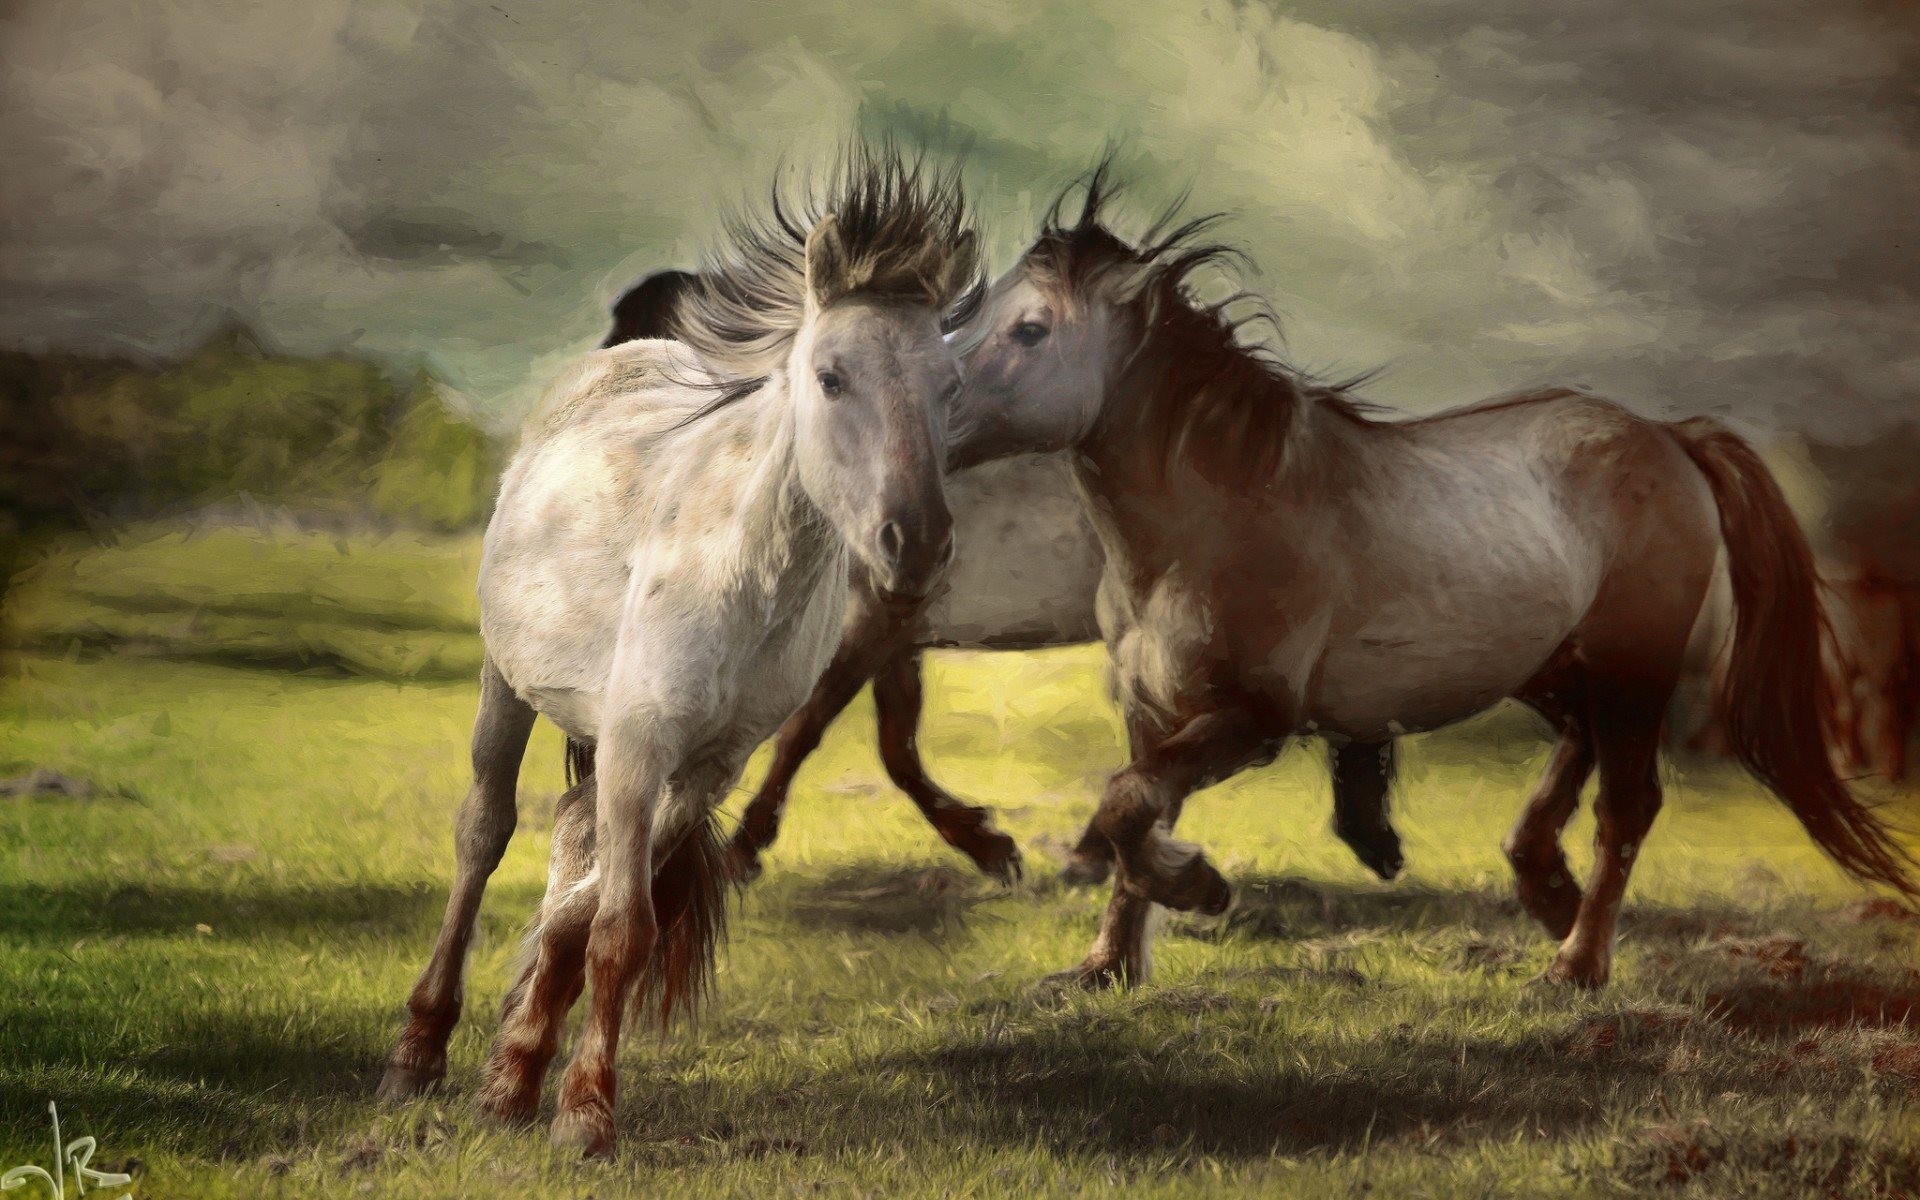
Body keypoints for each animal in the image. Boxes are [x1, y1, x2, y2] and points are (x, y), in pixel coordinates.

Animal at [378, 144, 981, 1159]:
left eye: (949, 389)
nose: (919, 543)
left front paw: (516, 1074)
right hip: (505, 687)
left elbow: (589, 910)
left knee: (565, 840)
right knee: (482, 834)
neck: (742, 576)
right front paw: (584, 1113)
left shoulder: (704, 768)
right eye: (831, 377)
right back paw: (417, 1052)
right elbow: (618, 924)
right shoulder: (637, 749)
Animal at [948, 171, 1917, 990]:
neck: (1213, 518)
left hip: (1633, 662)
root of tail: (1668, 435)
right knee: (1580, 743)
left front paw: (1201, 890)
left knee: (1628, 804)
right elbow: (1131, 812)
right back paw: (1543, 884)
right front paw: (1104, 967)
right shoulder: (1151, 711)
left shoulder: (1254, 716)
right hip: (1547, 662)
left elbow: (1126, 807)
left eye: (1030, 328)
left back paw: (1575, 963)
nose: (930, 408)